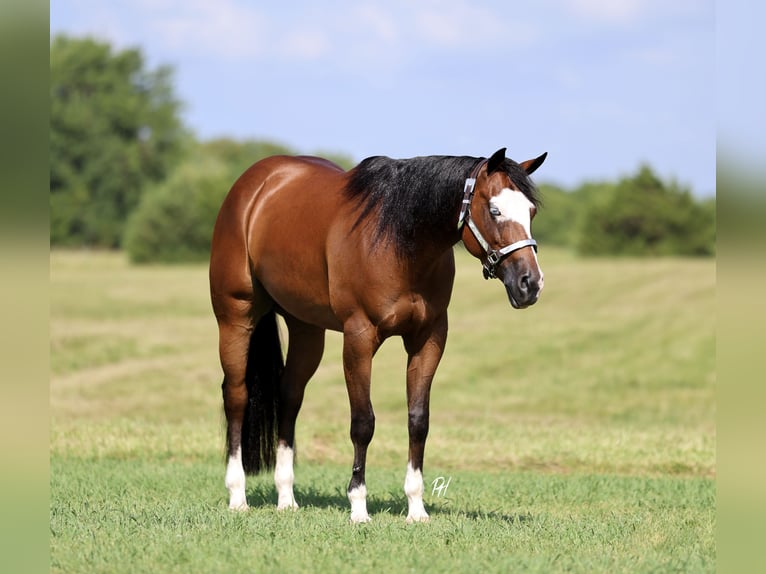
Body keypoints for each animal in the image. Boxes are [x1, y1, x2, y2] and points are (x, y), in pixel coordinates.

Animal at [209, 147, 547, 523]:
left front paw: (416, 508)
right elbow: (363, 422)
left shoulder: (429, 339)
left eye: (531, 211)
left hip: (306, 329)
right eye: (494, 210)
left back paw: (286, 497)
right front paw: (358, 506)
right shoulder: (358, 337)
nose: (530, 284)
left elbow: (418, 420)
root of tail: (256, 183)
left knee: (290, 396)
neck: (399, 243)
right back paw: (237, 495)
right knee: (236, 396)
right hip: (236, 316)